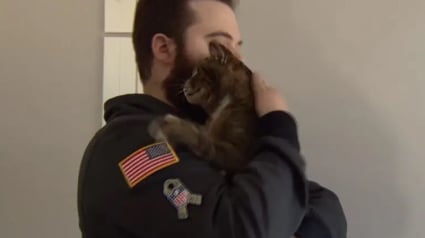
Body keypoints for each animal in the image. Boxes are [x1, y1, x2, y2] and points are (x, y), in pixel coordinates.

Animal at [147, 41, 256, 171]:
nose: (184, 83)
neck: (220, 105)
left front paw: (171, 127)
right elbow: (198, 129)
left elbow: (200, 139)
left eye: (196, 72)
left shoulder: (237, 153)